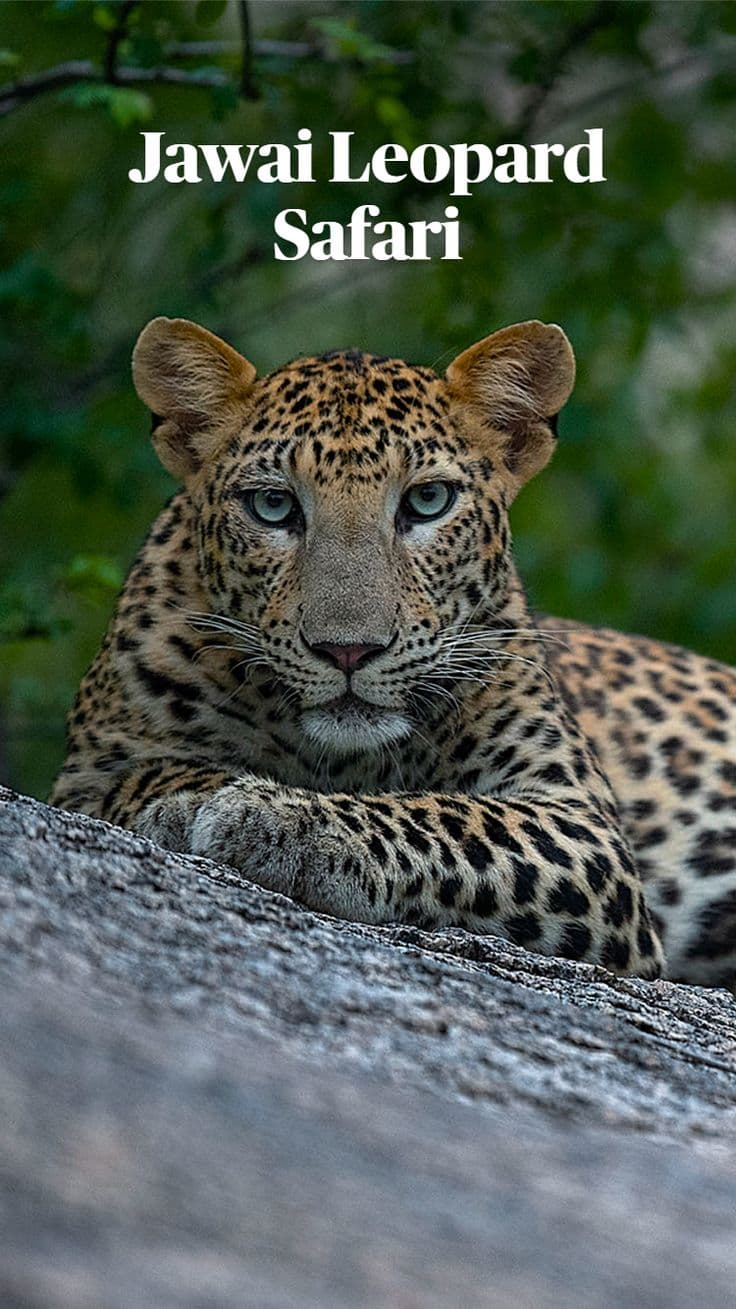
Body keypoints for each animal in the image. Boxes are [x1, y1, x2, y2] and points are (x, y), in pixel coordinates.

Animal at [50, 316, 736, 987]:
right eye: (272, 505)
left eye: (428, 501)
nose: (348, 652)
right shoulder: (84, 774)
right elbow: (145, 773)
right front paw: (193, 797)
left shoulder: (583, 828)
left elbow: (447, 819)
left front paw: (280, 821)